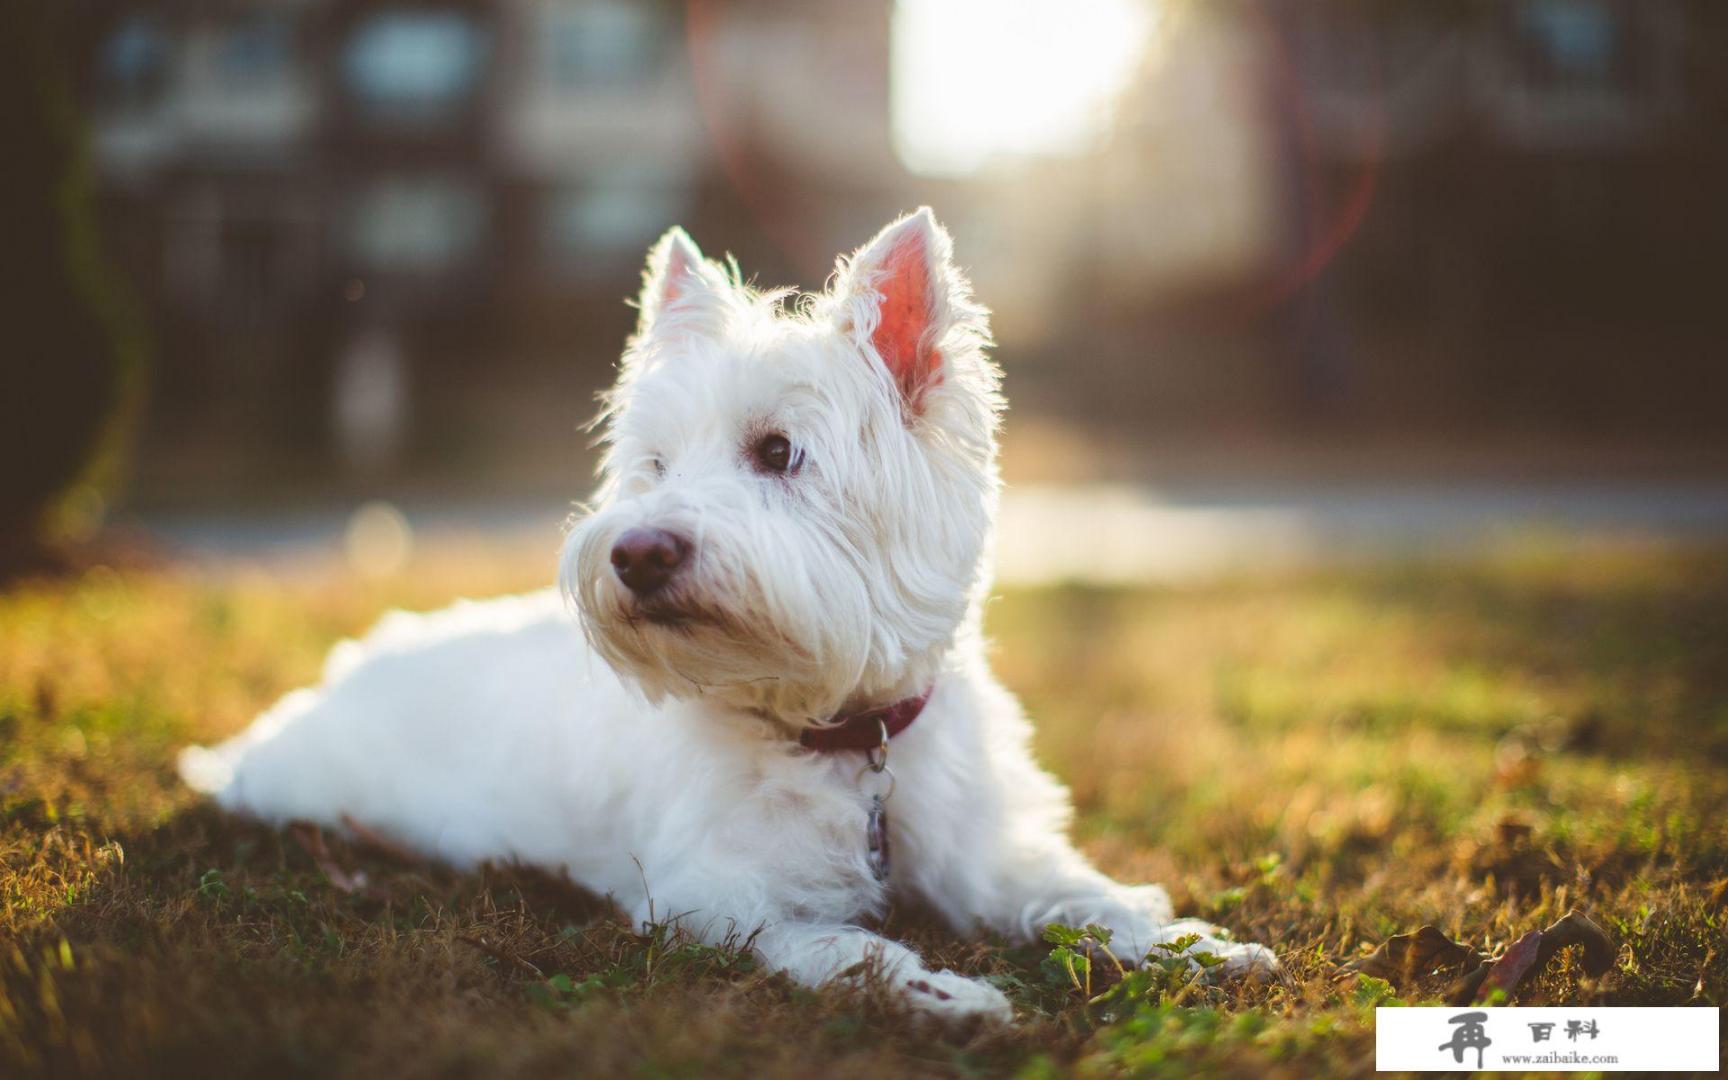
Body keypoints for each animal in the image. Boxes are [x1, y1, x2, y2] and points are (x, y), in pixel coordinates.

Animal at [182, 208, 1278, 1016]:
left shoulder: (988, 854)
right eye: (655, 465)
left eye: (777, 451)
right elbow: (843, 944)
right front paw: (941, 992)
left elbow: (1079, 894)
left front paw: (1190, 944)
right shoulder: (715, 900)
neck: (841, 736)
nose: (636, 552)